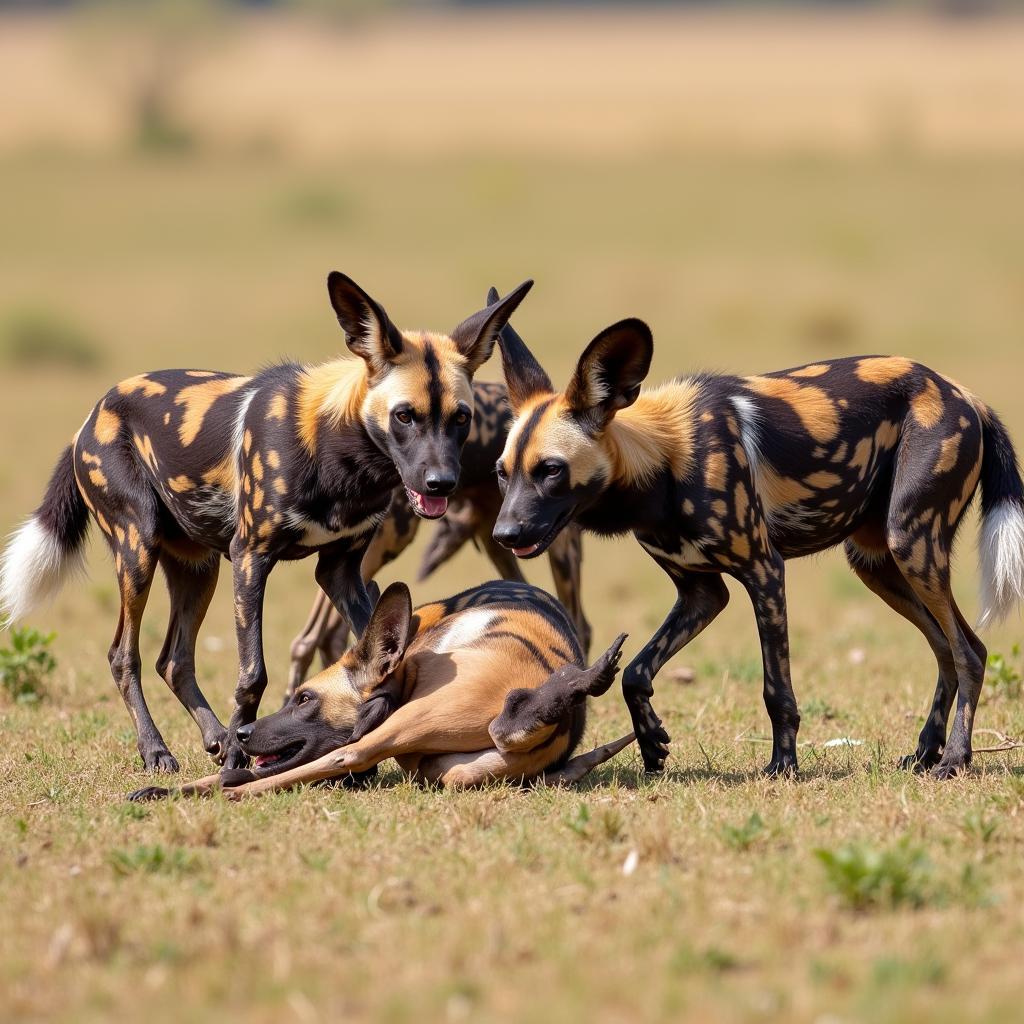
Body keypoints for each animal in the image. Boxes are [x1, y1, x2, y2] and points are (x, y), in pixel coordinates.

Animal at [6, 276, 536, 770]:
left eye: (461, 418)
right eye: (405, 416)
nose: (441, 483)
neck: (340, 454)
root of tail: (92, 415)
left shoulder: (339, 571)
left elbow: (378, 651)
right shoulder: (251, 560)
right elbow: (251, 676)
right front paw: (239, 763)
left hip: (199, 568)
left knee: (174, 661)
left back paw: (215, 738)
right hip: (139, 552)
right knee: (124, 655)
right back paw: (157, 750)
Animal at [487, 311, 1024, 774]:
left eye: (551, 470)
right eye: (502, 472)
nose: (504, 534)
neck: (666, 461)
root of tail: (964, 394)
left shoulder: (764, 572)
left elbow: (776, 691)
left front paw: (783, 766)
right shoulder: (702, 594)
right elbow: (635, 673)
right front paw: (652, 743)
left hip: (912, 546)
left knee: (969, 653)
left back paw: (954, 759)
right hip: (878, 564)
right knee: (950, 649)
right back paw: (926, 752)